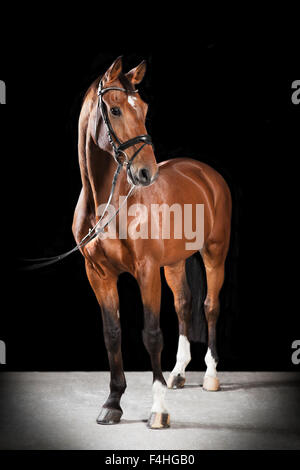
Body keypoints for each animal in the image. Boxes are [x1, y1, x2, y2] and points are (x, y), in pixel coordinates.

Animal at [72, 57, 232, 428]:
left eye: (143, 108)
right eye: (115, 110)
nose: (147, 173)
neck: (107, 205)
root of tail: (207, 174)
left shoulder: (146, 272)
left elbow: (151, 334)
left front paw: (158, 409)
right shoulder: (98, 275)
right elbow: (112, 333)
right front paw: (113, 403)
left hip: (214, 254)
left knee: (210, 306)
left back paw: (210, 376)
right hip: (174, 263)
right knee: (184, 304)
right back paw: (178, 373)